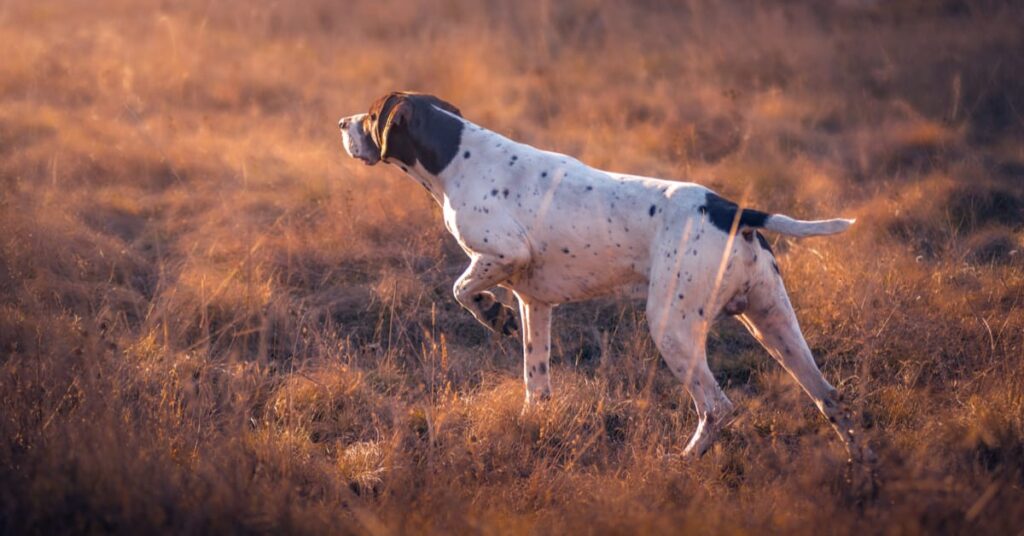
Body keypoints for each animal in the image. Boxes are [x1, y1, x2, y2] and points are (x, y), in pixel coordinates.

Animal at [335, 92, 872, 461]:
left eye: (370, 115)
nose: (341, 122)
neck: (458, 156)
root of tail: (730, 209)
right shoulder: (535, 303)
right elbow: (536, 383)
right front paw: (533, 424)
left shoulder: (503, 252)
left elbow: (461, 288)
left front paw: (492, 315)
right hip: (773, 322)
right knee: (831, 398)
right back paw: (860, 469)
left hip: (673, 327)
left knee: (718, 407)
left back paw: (682, 462)